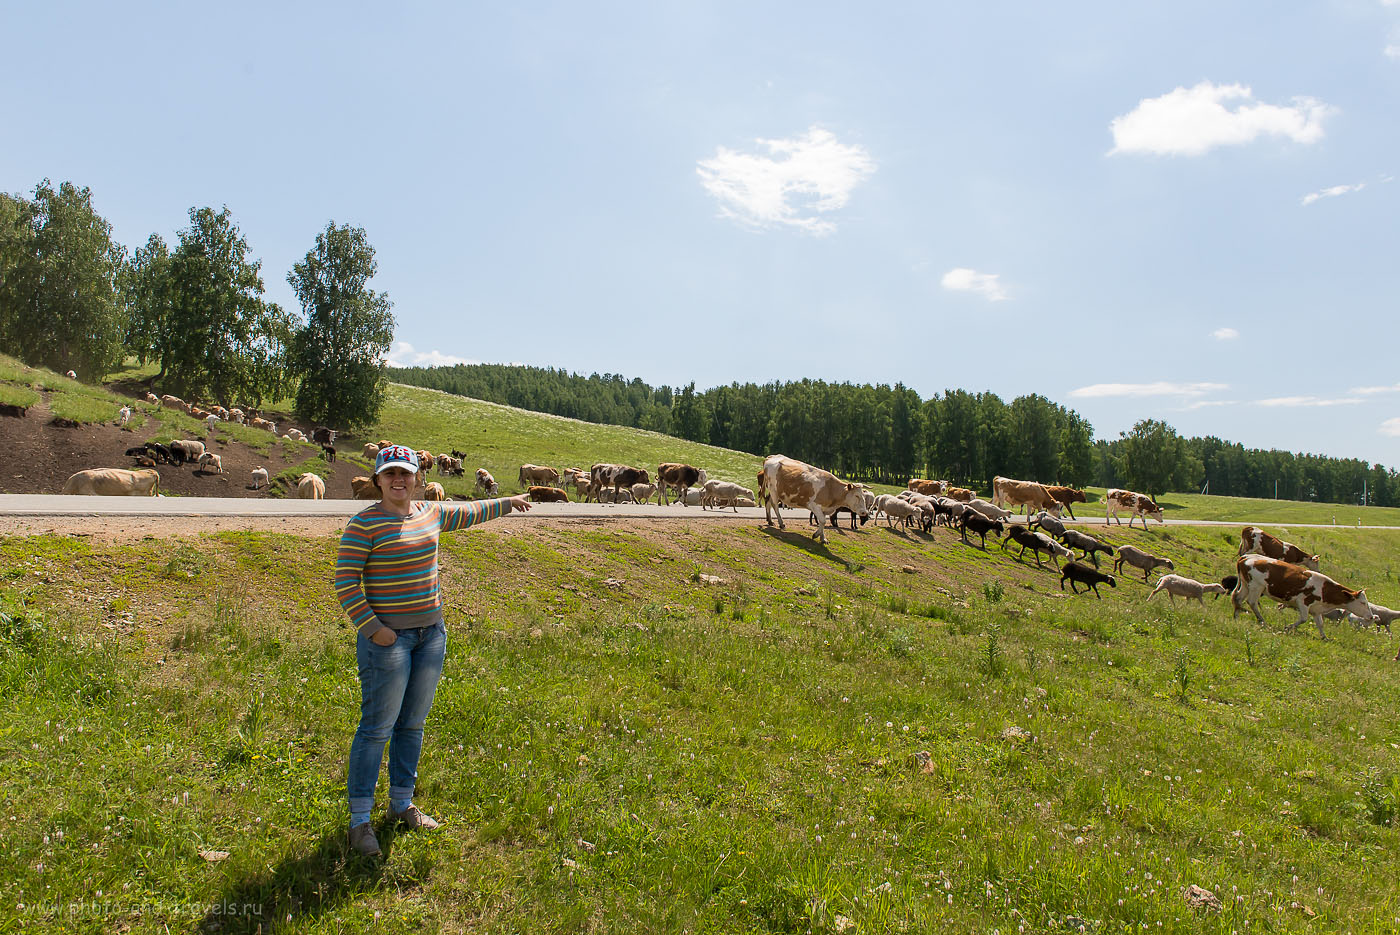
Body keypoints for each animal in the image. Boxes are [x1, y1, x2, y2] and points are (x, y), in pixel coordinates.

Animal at [1232, 551, 1372, 638]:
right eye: (1363, 603)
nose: (1371, 616)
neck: (1324, 589)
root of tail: (1247, 557)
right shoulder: (1303, 602)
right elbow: (1304, 618)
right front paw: (1288, 627)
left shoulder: (1316, 609)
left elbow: (1320, 623)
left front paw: (1324, 637)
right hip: (1256, 587)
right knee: (1252, 602)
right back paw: (1262, 620)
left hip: (1245, 585)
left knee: (1238, 598)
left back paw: (1236, 617)